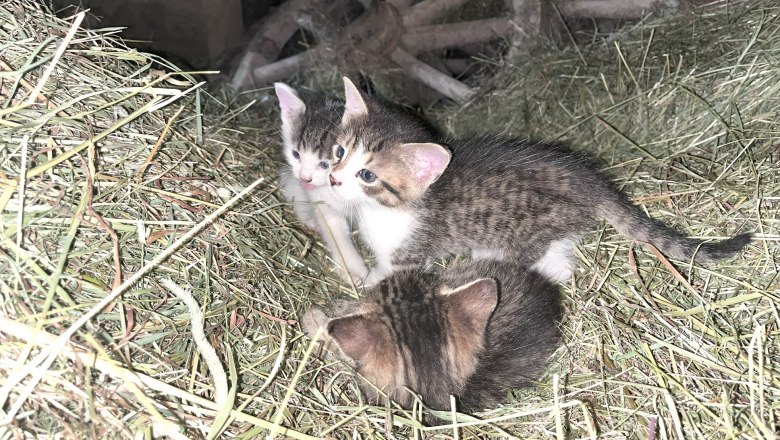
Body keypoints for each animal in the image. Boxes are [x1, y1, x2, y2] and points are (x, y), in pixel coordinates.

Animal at [328, 78, 748, 286]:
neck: (382, 211)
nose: (332, 179)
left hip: (529, 230)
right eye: (338, 151)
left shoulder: (411, 251)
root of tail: (589, 180)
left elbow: (390, 273)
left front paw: (367, 289)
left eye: (368, 175)